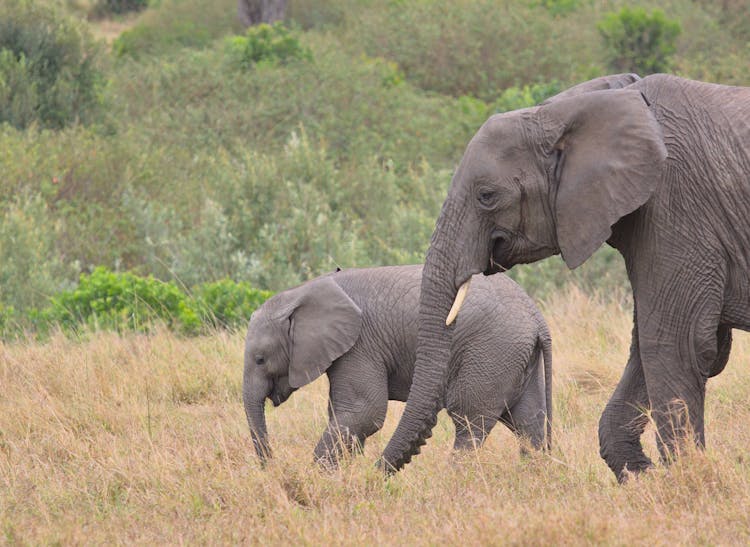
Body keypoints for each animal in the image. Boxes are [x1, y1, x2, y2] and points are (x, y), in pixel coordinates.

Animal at [245, 266, 552, 466]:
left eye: (260, 359)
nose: (273, 466)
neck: (301, 292)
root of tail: (537, 318)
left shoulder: (361, 345)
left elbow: (365, 412)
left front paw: (321, 477)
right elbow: (346, 415)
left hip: (492, 350)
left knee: (469, 421)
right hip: (517, 358)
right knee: (528, 422)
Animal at [382, 75, 750, 482]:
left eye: (487, 196)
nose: (377, 471)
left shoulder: (676, 206)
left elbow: (676, 342)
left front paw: (684, 482)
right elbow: (655, 345)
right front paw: (643, 477)